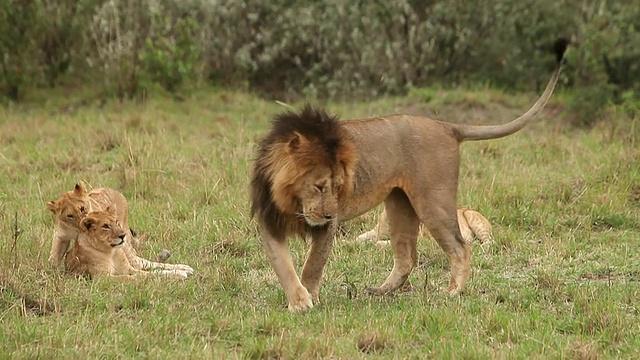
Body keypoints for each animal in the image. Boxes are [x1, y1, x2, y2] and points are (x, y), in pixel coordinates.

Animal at [66, 208, 194, 278]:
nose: (123, 235)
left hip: (136, 261)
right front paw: (179, 275)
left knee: (153, 264)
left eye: (116, 222)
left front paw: (179, 273)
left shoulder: (128, 269)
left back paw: (185, 268)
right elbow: (137, 277)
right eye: (106, 226)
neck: (111, 252)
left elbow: (150, 273)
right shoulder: (103, 278)